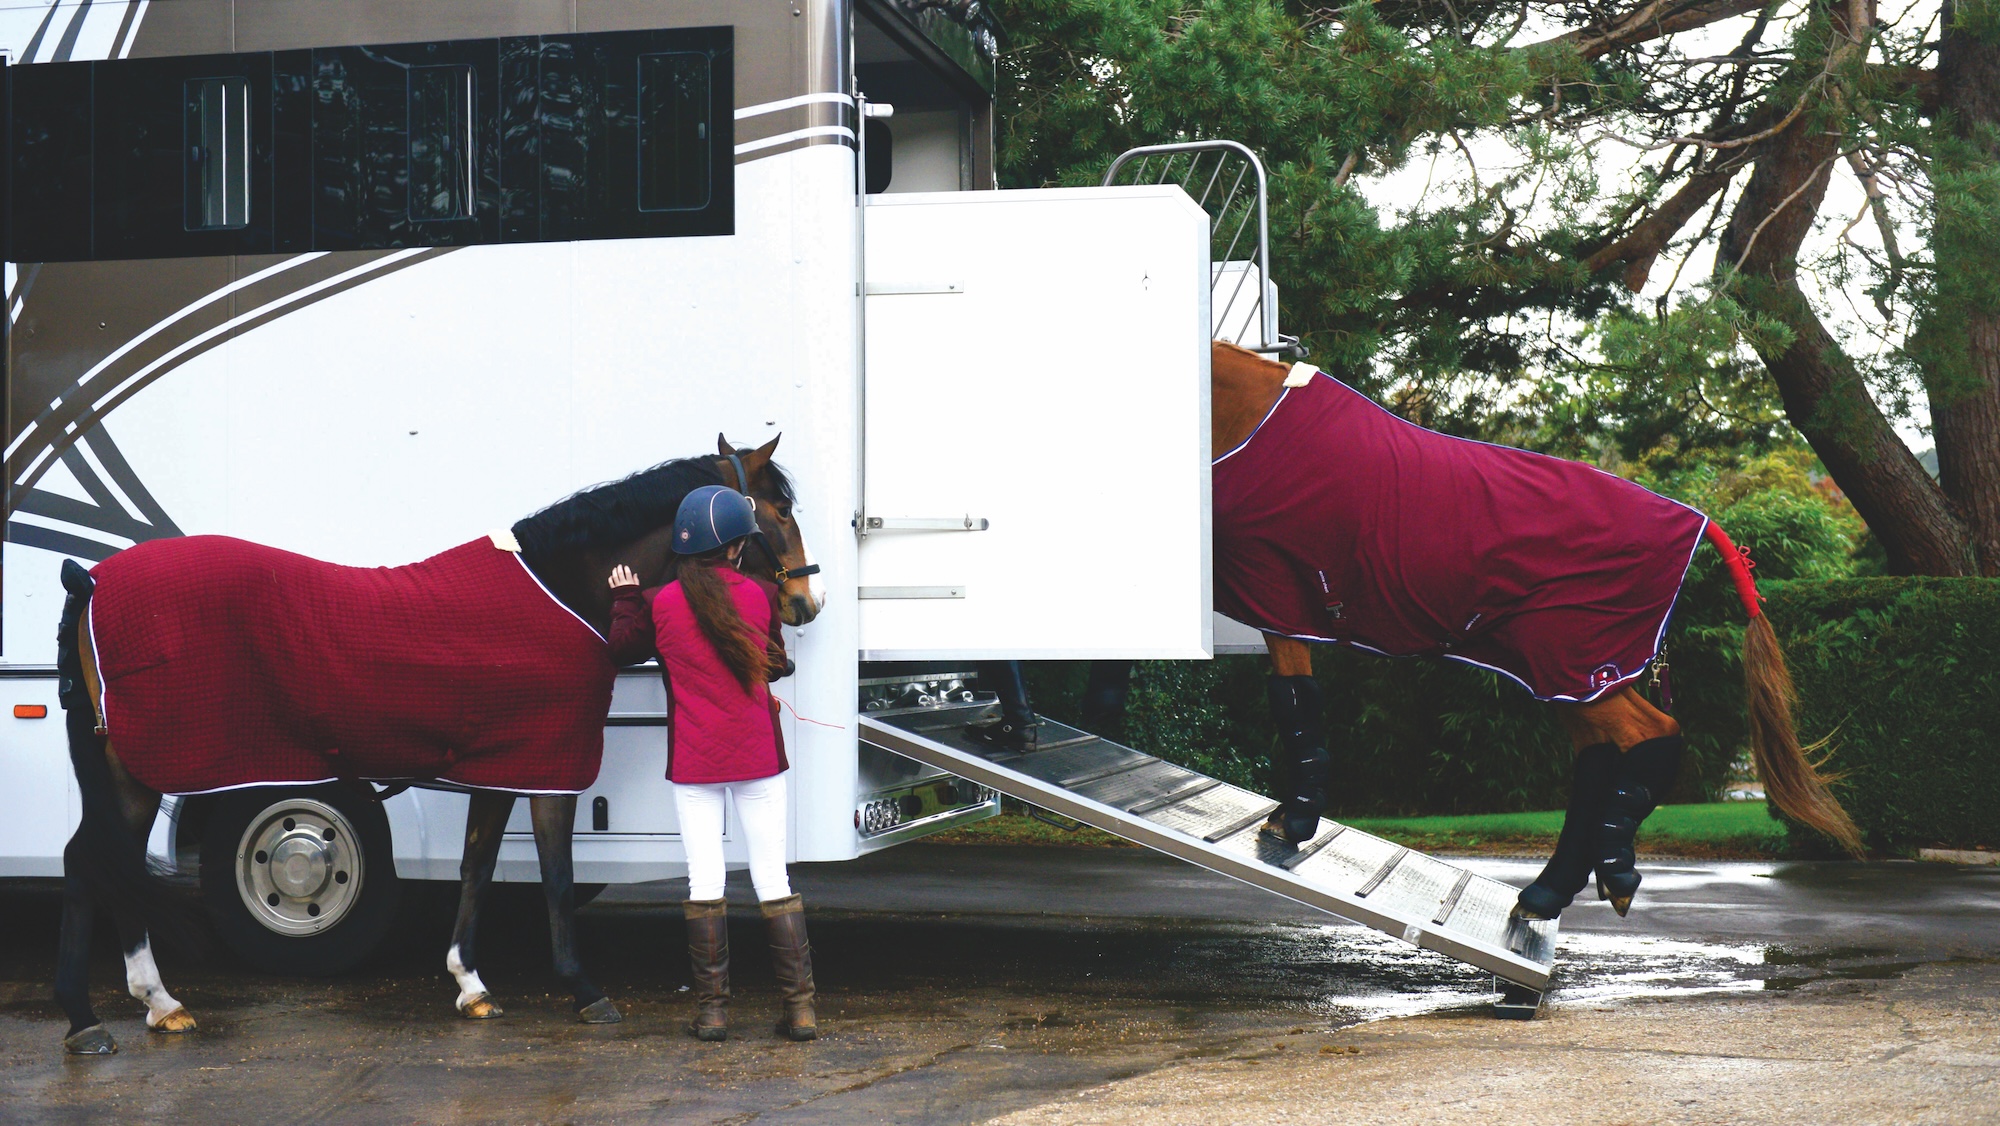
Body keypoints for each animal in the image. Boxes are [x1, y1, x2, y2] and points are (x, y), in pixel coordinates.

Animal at [50, 435, 823, 1055]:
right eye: (779, 512)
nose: (805, 605)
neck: (561, 592)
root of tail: (92, 578)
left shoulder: (501, 769)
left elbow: (477, 867)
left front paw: (470, 984)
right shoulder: (550, 769)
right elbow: (557, 874)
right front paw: (585, 990)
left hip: (132, 768)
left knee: (100, 862)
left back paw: (153, 1006)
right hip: (145, 765)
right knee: (91, 862)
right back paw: (91, 1021)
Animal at [1099, 342, 1860, 921]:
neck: (1251, 421)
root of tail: (1700, 524)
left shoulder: (1280, 589)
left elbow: (1291, 698)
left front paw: (1295, 818)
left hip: (1575, 662)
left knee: (1651, 737)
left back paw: (1613, 874)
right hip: (1562, 677)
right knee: (1598, 761)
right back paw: (1548, 894)